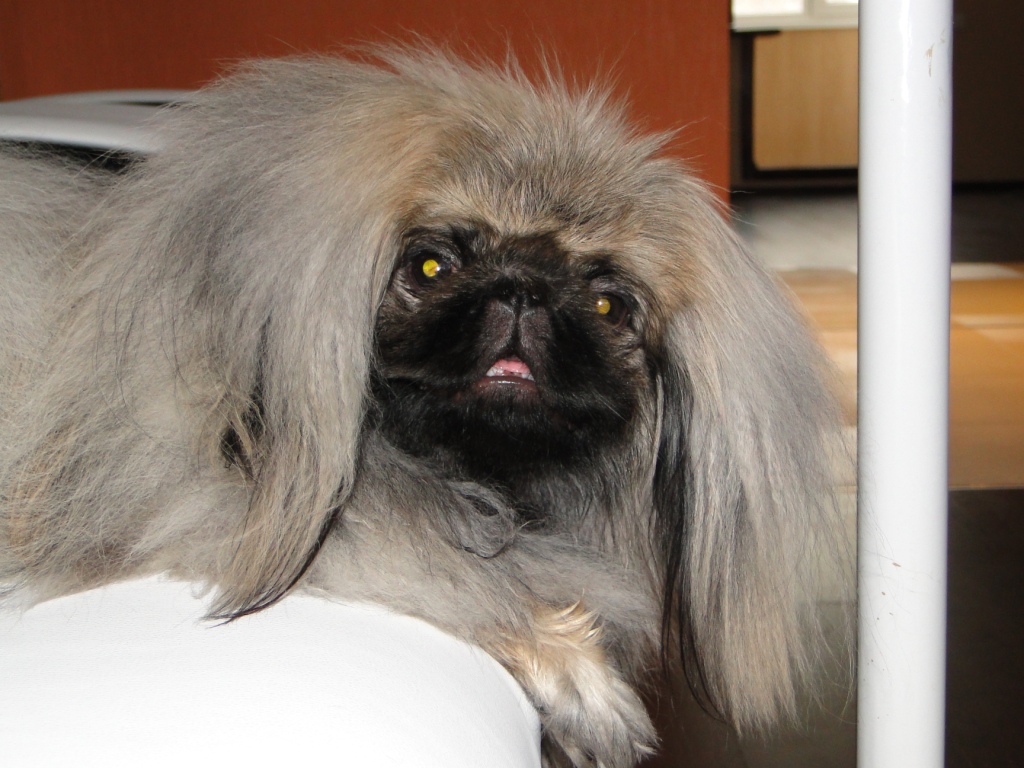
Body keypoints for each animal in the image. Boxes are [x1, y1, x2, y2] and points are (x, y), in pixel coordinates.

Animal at [0, 48, 847, 767]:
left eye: (608, 303)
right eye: (433, 265)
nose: (523, 286)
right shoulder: (214, 507)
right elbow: (455, 569)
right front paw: (583, 682)